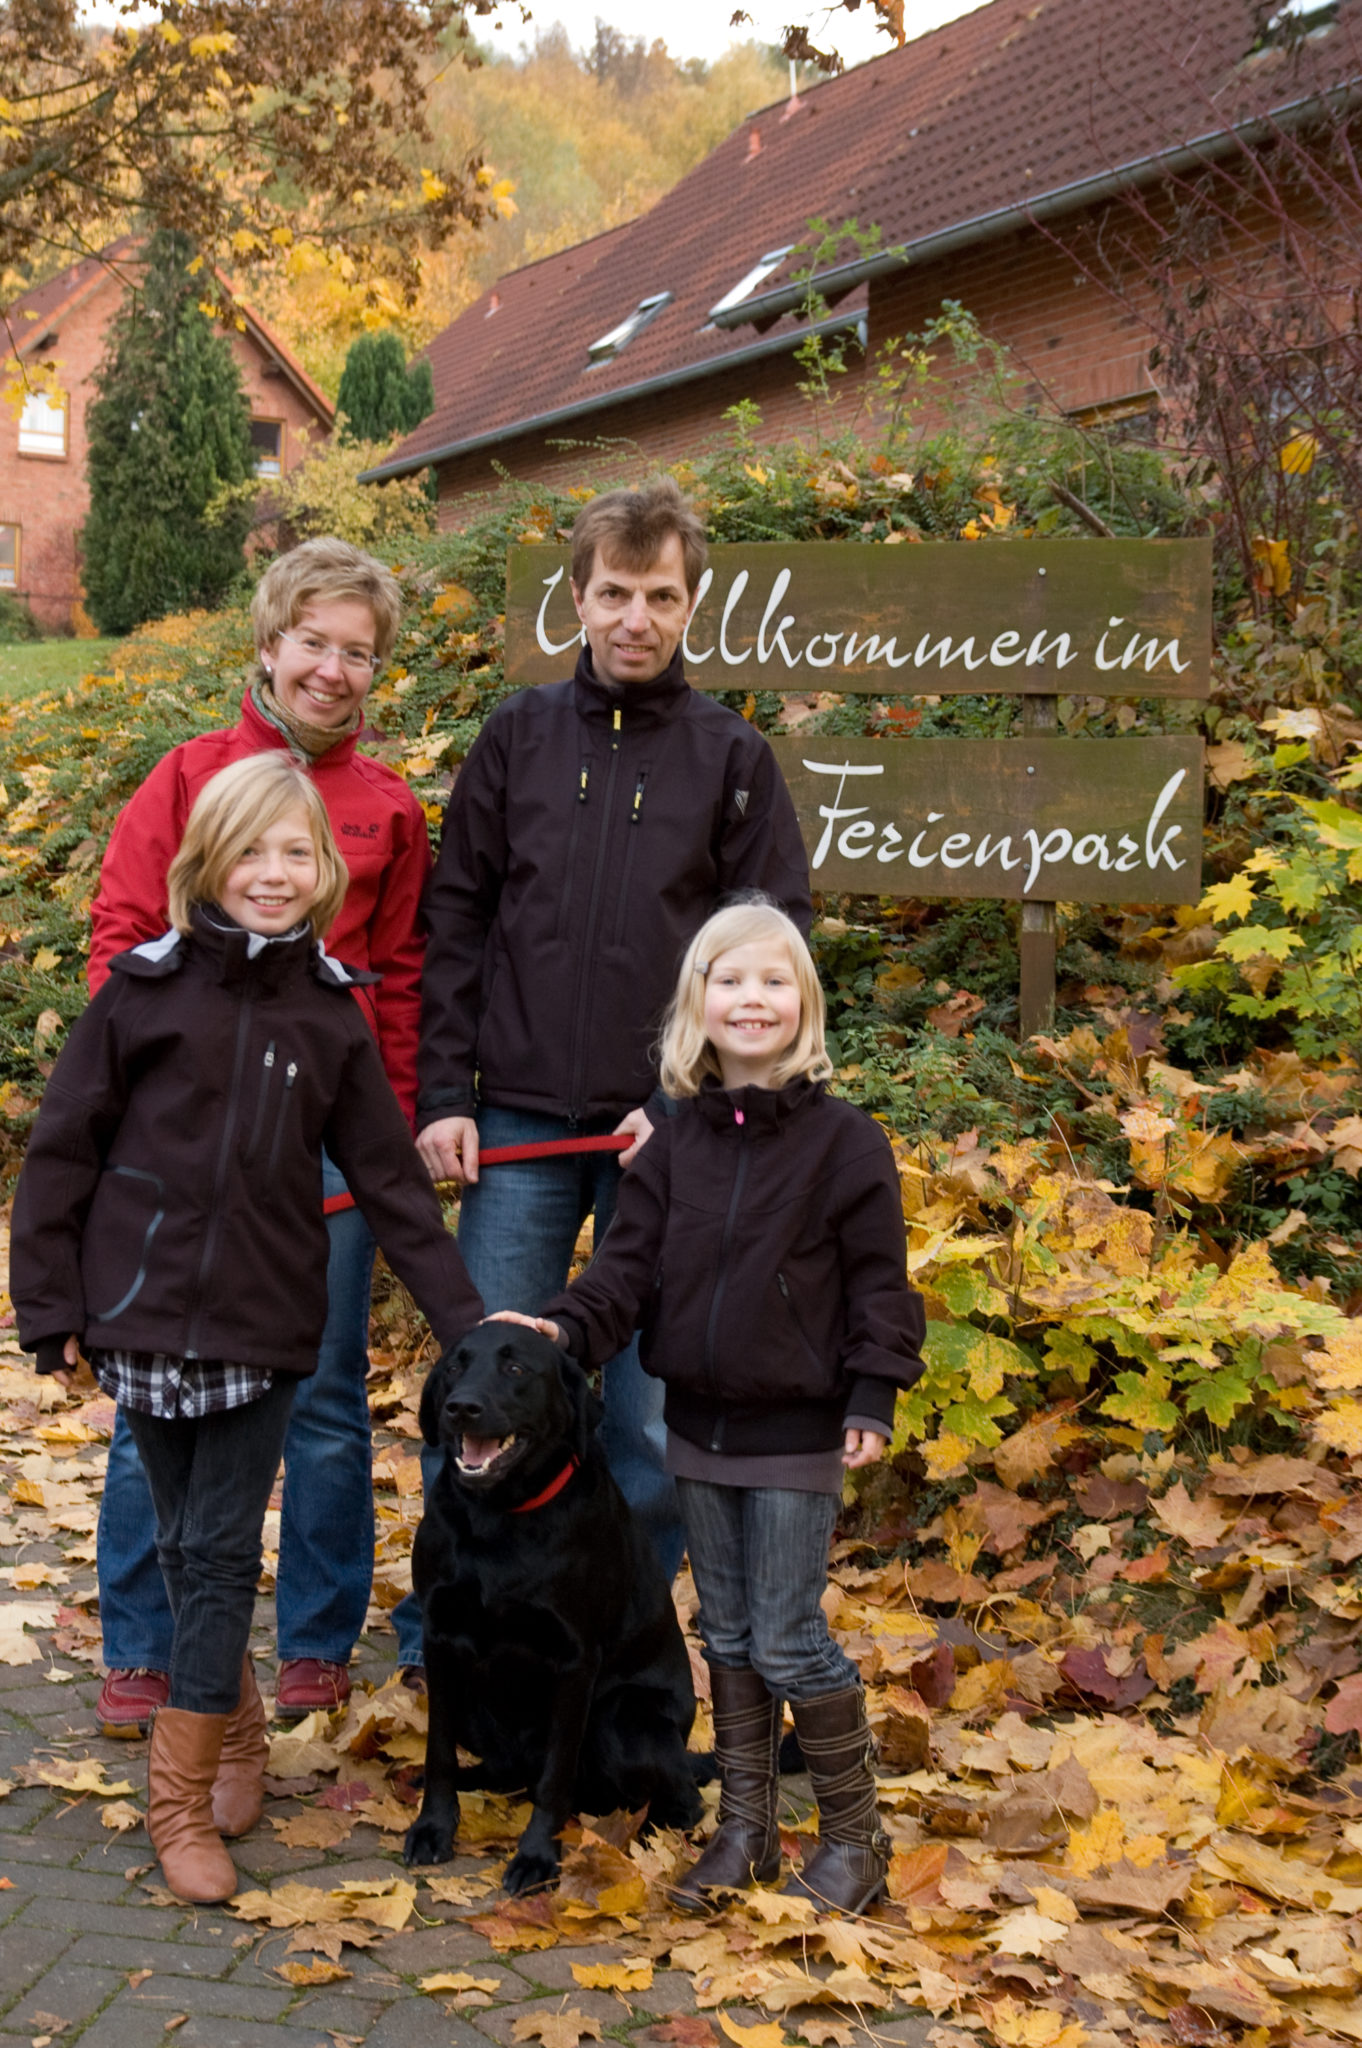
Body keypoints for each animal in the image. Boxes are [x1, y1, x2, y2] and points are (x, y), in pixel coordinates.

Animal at [401, 1318, 700, 1892]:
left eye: (516, 1368)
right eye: (454, 1367)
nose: (461, 1407)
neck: (498, 1518)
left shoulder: (575, 1659)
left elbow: (554, 1776)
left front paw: (538, 1856)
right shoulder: (438, 1637)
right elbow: (437, 1752)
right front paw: (433, 1827)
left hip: (623, 1720)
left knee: (683, 1802)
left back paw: (639, 1837)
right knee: (503, 1770)